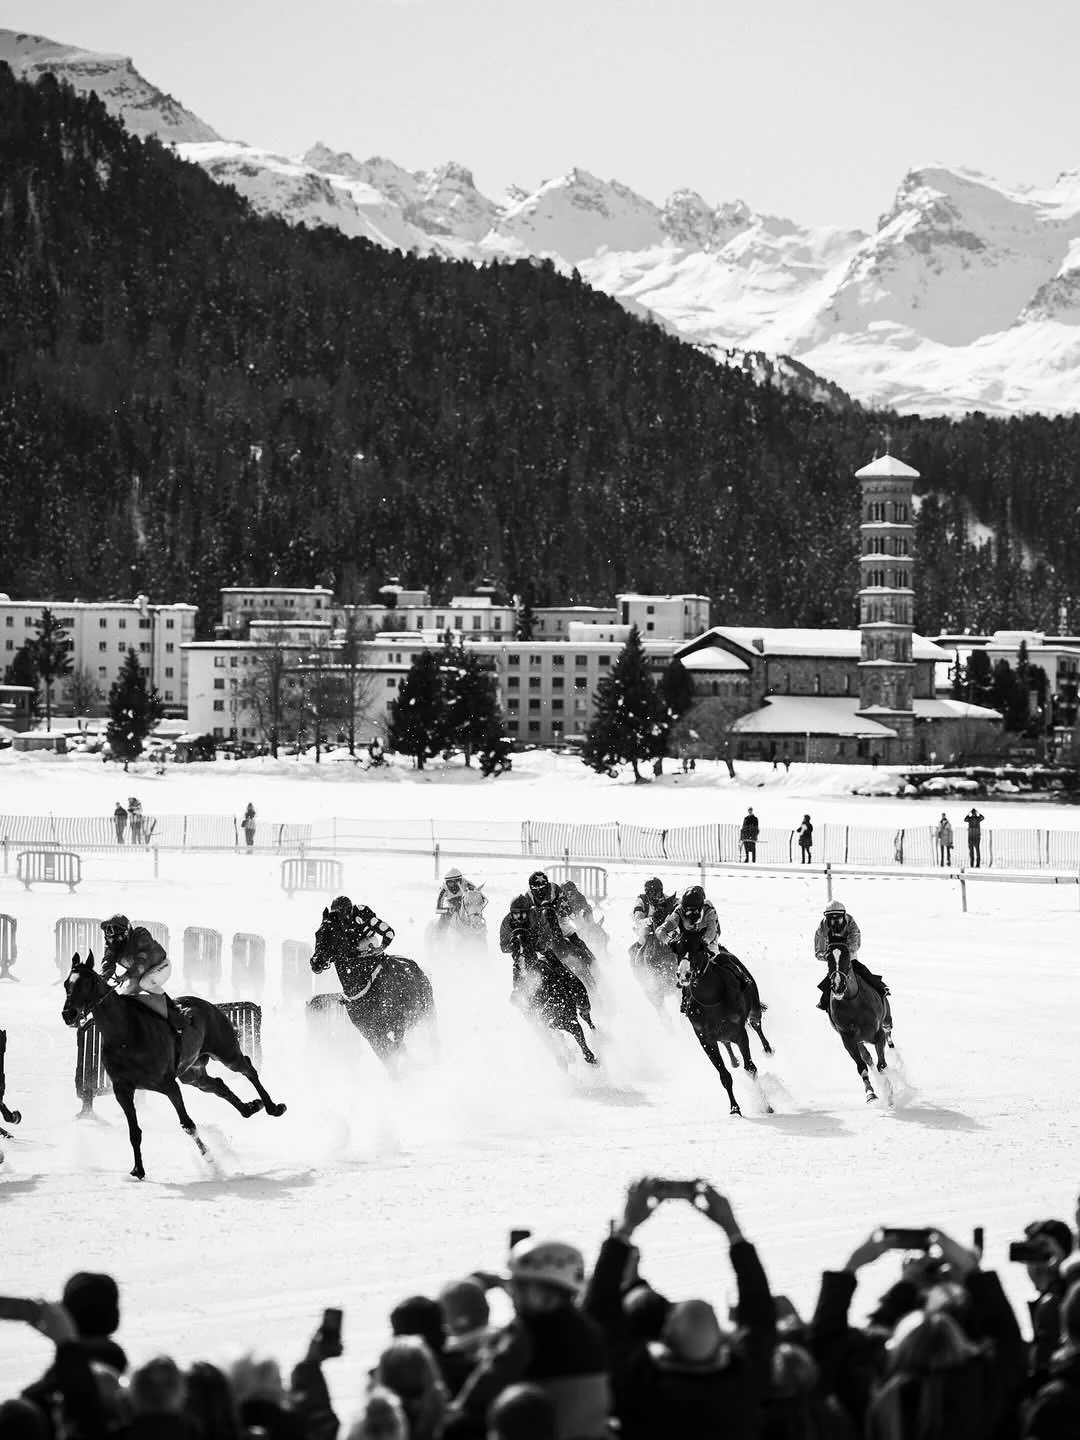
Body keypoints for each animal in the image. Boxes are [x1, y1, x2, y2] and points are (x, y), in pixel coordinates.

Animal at [61, 951, 286, 1179]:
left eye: (87, 982)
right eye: (66, 983)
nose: (68, 1014)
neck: (125, 1034)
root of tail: (209, 1005)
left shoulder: (168, 1084)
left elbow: (187, 1124)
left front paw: (210, 1159)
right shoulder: (122, 1089)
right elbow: (134, 1131)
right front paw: (138, 1169)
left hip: (226, 1052)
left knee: (248, 1068)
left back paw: (272, 1107)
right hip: (192, 1073)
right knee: (218, 1084)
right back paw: (250, 1107)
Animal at [309, 912, 436, 1069]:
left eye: (335, 934)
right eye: (318, 933)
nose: (316, 961)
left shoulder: (397, 1025)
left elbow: (395, 1052)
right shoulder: (371, 1034)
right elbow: (389, 1057)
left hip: (428, 1012)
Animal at [679, 936, 773, 1116]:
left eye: (698, 948)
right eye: (676, 948)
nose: (683, 974)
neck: (711, 1000)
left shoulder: (740, 1032)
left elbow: (750, 1068)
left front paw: (766, 1106)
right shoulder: (706, 1039)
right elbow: (724, 1075)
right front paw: (735, 1108)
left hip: (754, 1006)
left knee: (756, 1023)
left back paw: (768, 1049)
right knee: (726, 1042)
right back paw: (734, 1060)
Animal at [826, 944, 891, 1103]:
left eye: (848, 959)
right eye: (828, 959)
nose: (837, 986)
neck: (853, 1003)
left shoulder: (877, 1033)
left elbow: (882, 1065)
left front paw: (889, 1093)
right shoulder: (848, 1038)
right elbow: (862, 1065)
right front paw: (871, 1093)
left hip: (886, 1018)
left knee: (888, 1029)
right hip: (860, 1041)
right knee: (867, 1057)